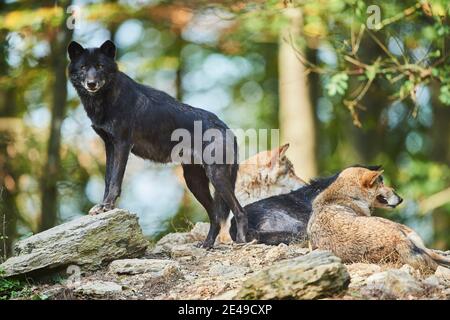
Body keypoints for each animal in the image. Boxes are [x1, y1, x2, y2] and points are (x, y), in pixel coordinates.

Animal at [68, 40, 248, 249]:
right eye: (83, 67)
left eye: (99, 66)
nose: (91, 83)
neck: (107, 98)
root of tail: (225, 127)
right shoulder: (109, 146)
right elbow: (107, 180)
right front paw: (103, 207)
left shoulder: (122, 145)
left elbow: (114, 181)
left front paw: (107, 206)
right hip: (194, 182)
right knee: (216, 216)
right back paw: (207, 244)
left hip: (216, 177)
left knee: (239, 211)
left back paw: (241, 242)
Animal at [308, 166, 450, 272]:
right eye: (381, 183)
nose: (401, 199)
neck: (346, 196)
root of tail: (397, 239)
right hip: (405, 230)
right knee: (432, 254)